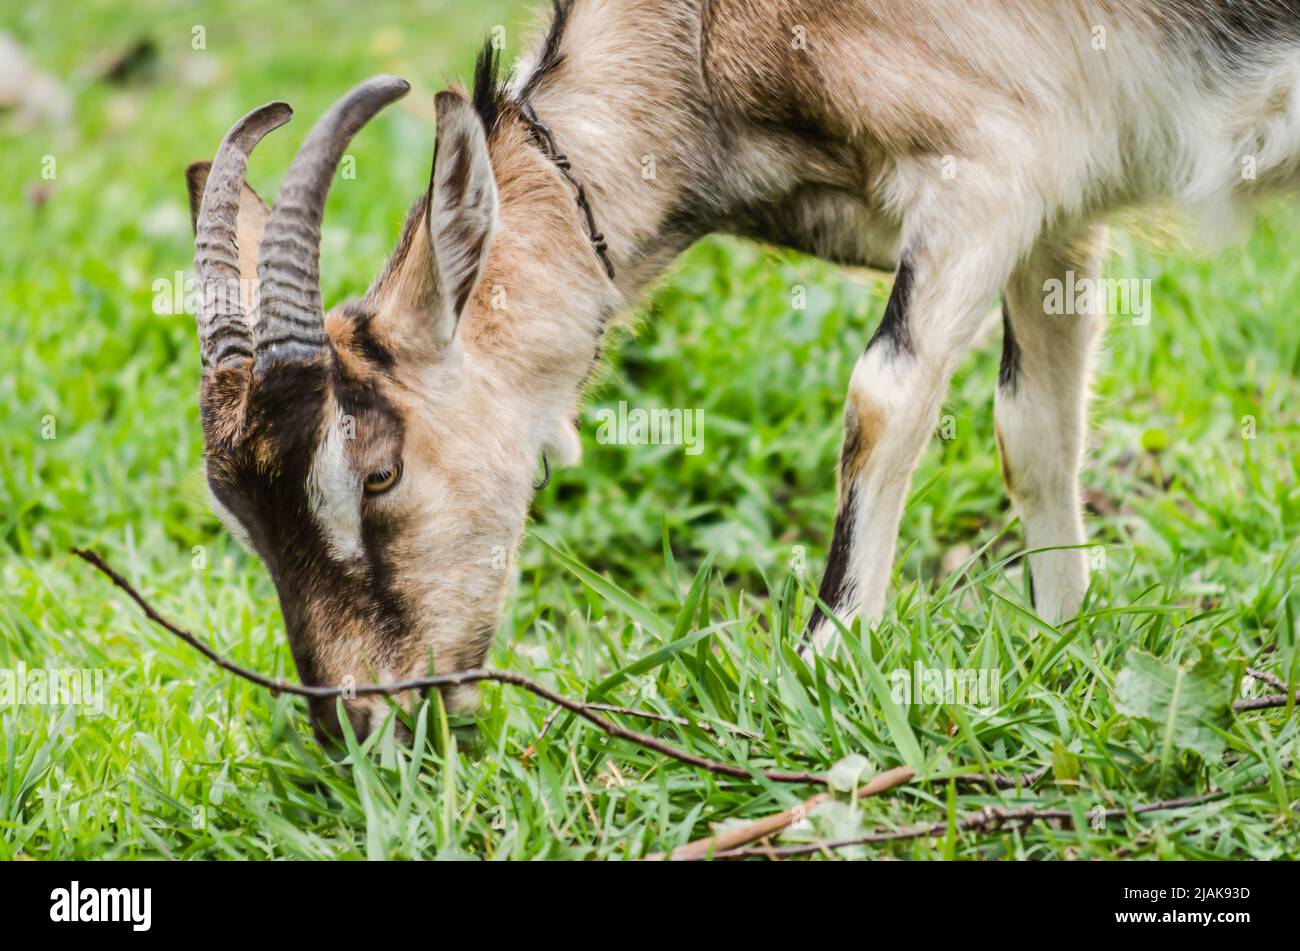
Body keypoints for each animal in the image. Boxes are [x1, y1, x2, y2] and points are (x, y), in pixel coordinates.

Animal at [186, 0, 1300, 740]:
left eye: (378, 472)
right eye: (239, 521)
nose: (357, 725)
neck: (702, 39)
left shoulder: (986, 174)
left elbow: (881, 400)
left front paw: (827, 673)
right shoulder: (1058, 210)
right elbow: (1035, 432)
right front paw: (1061, 643)